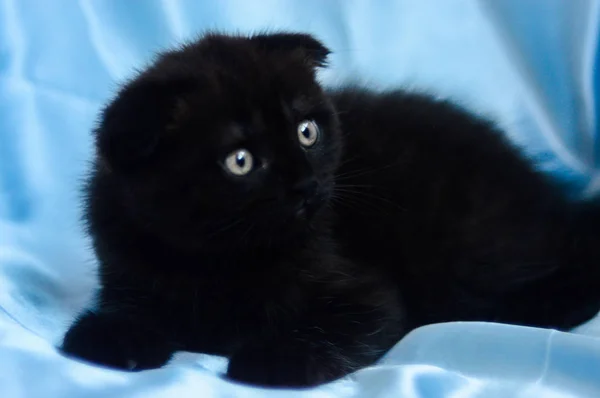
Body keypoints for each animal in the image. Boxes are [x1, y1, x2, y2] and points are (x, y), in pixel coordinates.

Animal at [62, 32, 600, 388]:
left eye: (307, 131)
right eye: (241, 160)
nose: (306, 185)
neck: (219, 257)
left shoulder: (369, 293)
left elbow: (344, 322)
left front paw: (276, 357)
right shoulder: (127, 267)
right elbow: (132, 308)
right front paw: (110, 336)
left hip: (473, 245)